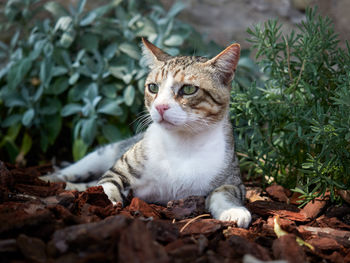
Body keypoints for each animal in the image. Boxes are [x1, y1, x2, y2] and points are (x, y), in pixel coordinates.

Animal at [42, 38, 252, 229]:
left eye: (189, 89)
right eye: (153, 87)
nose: (160, 107)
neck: (182, 144)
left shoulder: (233, 180)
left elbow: (224, 192)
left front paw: (234, 210)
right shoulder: (120, 169)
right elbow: (106, 184)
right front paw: (107, 202)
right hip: (102, 154)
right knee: (71, 173)